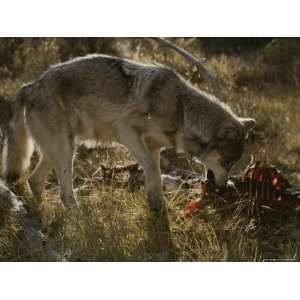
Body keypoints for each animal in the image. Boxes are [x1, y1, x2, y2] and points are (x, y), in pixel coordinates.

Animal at [1, 54, 255, 213]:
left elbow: (156, 176)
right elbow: (151, 169)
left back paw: (42, 214)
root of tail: (31, 85)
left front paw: (158, 209)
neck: (182, 109)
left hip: (61, 150)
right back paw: (79, 218)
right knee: (62, 193)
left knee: (34, 180)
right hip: (65, 152)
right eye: (227, 162)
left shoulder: (154, 147)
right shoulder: (127, 131)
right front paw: (157, 208)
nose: (223, 188)